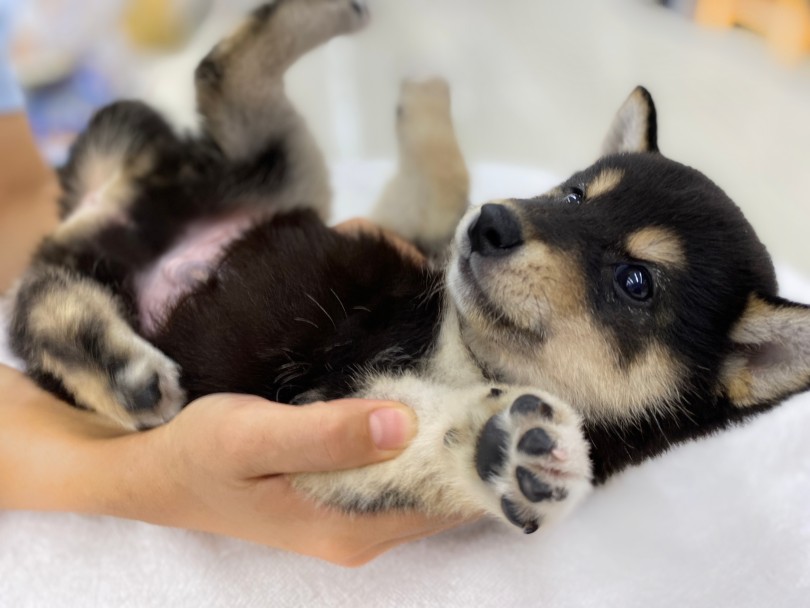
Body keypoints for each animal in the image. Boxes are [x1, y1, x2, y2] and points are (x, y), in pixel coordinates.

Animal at [6, 0, 808, 532]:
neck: (461, 350)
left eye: (635, 283)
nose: (493, 224)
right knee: (220, 73)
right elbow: (441, 186)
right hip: (281, 172)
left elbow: (421, 443)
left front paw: (505, 453)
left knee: (39, 302)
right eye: (574, 194)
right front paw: (430, 103)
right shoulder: (416, 244)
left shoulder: (333, 429)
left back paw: (125, 373)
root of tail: (107, 210)